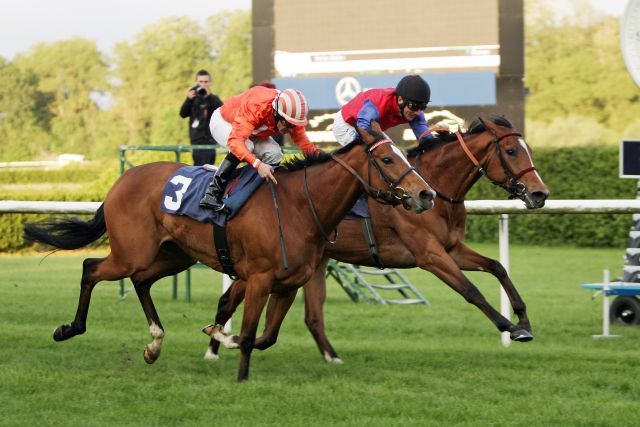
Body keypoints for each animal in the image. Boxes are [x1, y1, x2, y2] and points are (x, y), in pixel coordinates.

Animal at [23, 136, 436, 382]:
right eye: (388, 158)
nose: (426, 194)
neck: (299, 206)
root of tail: (119, 183)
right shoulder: (259, 279)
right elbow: (251, 334)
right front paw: (238, 371)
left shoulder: (288, 284)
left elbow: (265, 337)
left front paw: (220, 335)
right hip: (131, 253)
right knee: (91, 268)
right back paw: (69, 329)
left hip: (173, 255)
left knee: (141, 281)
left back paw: (155, 344)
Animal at [205, 115, 552, 362]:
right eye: (511, 151)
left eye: (527, 151)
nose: (540, 194)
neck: (437, 188)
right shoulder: (429, 254)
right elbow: (471, 291)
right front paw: (511, 327)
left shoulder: (452, 248)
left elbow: (497, 267)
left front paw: (523, 320)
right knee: (229, 299)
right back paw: (214, 348)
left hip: (312, 262)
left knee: (311, 315)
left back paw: (331, 357)